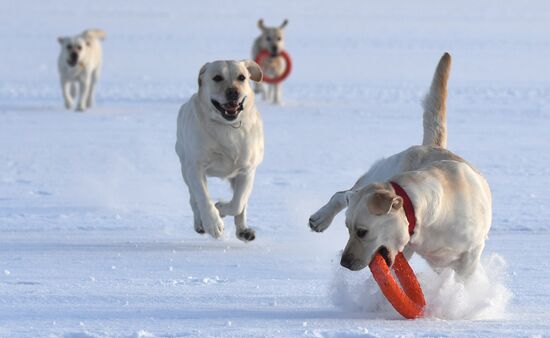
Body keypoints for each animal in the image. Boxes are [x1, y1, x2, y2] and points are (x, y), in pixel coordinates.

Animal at [176, 59, 264, 242]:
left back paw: (243, 230)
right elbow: (202, 197)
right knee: (193, 198)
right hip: (184, 166)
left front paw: (221, 208)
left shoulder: (247, 170)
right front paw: (213, 222)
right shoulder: (195, 167)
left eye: (242, 77)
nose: (233, 92)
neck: (227, 127)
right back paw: (200, 223)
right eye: (217, 77)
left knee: (242, 204)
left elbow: (238, 203)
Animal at [310, 54, 496, 278]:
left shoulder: (469, 257)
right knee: (342, 194)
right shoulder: (405, 246)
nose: (344, 263)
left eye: (362, 231)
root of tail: (433, 146)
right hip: (383, 170)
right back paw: (320, 218)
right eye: (347, 228)